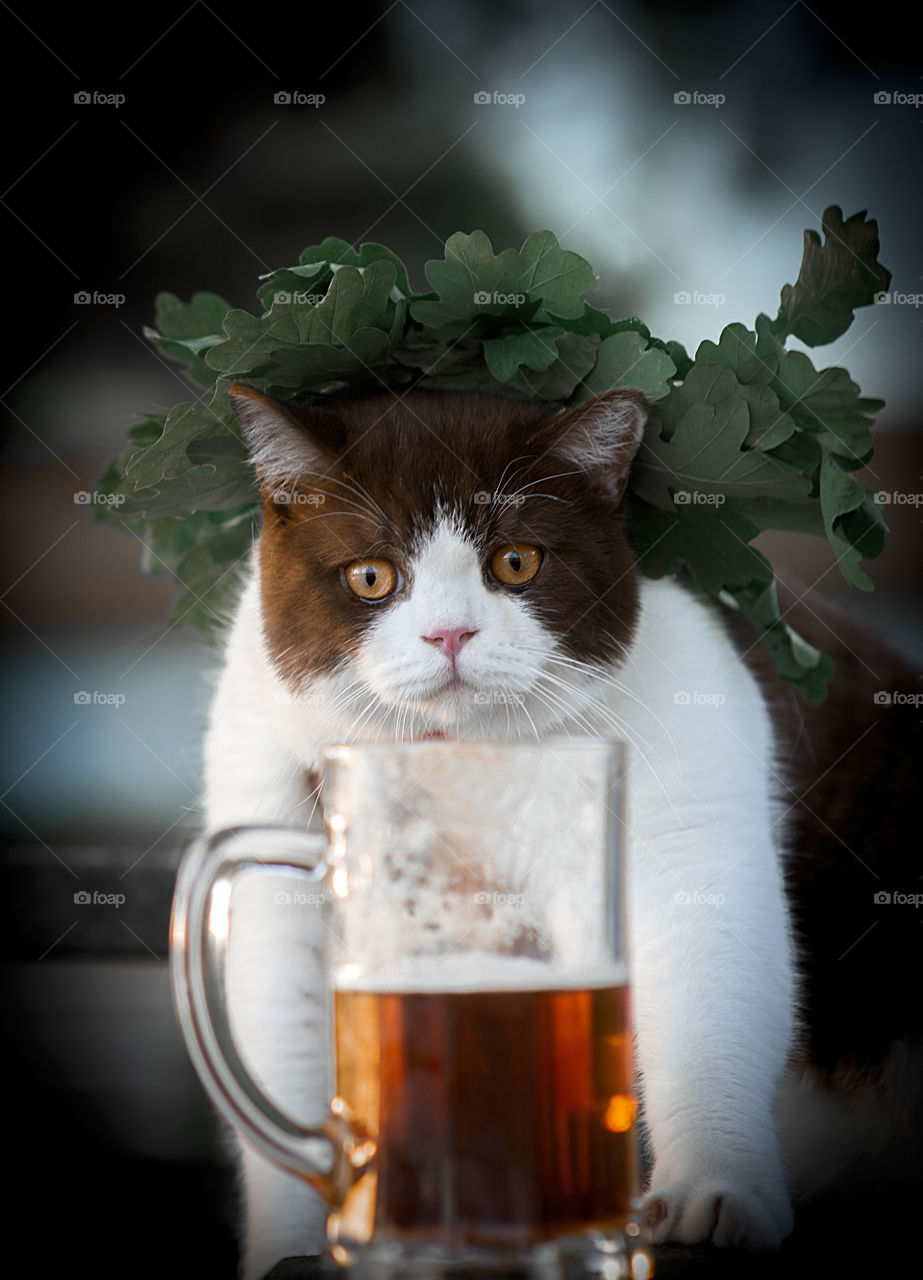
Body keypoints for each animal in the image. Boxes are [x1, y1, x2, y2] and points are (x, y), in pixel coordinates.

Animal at [203, 384, 921, 1280]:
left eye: (516, 563)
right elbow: (280, 1016)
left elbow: (708, 980)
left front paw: (711, 1193)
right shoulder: (262, 765)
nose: (449, 634)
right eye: (371, 575)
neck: (462, 754)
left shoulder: (689, 728)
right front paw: (301, 1241)